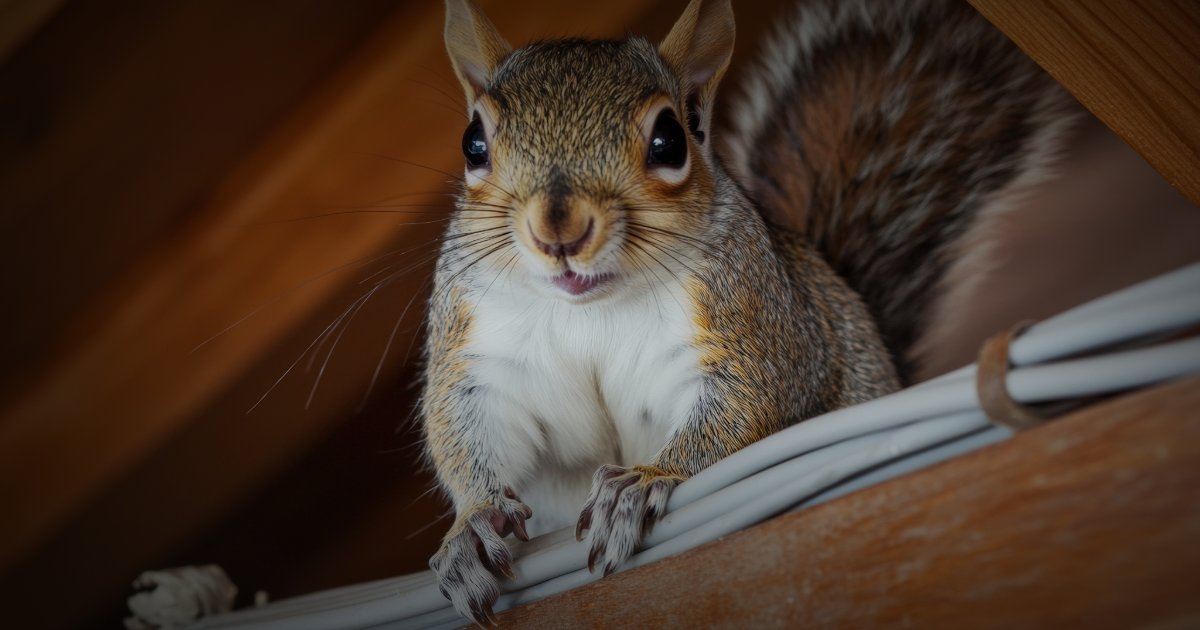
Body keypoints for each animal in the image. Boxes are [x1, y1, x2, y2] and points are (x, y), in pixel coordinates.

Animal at [421, 0, 1072, 623]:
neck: (592, 305)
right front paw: (473, 526)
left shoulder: (750, 324)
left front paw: (642, 482)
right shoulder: (480, 349)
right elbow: (467, 423)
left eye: (670, 141)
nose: (559, 232)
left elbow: (744, 403)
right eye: (473, 144)